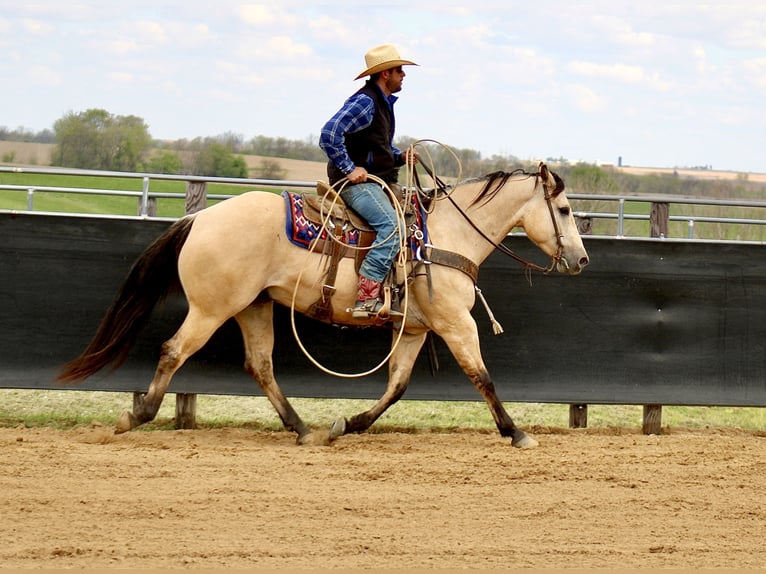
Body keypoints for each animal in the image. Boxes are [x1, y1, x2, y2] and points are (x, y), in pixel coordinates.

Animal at [58, 162, 589, 448]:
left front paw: (348, 424)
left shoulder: (417, 329)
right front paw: (516, 433)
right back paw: (136, 416)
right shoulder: (456, 323)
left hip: (253, 306)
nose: (582, 259)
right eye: (564, 210)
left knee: (261, 365)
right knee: (173, 351)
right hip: (212, 308)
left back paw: (304, 430)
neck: (445, 235)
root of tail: (199, 219)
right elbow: (483, 377)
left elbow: (396, 387)